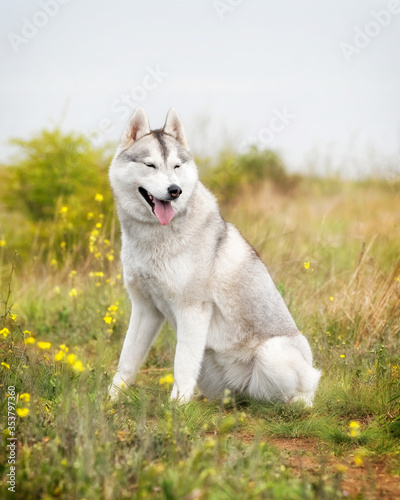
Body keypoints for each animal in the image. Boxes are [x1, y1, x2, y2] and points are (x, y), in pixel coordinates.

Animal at [108, 107, 320, 404]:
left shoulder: (192, 310)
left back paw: (298, 403)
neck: (154, 237)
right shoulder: (144, 309)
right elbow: (126, 362)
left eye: (176, 167)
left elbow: (181, 365)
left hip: (272, 353)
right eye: (150, 165)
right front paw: (109, 401)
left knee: (304, 390)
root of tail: (243, 391)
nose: (175, 190)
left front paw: (175, 408)